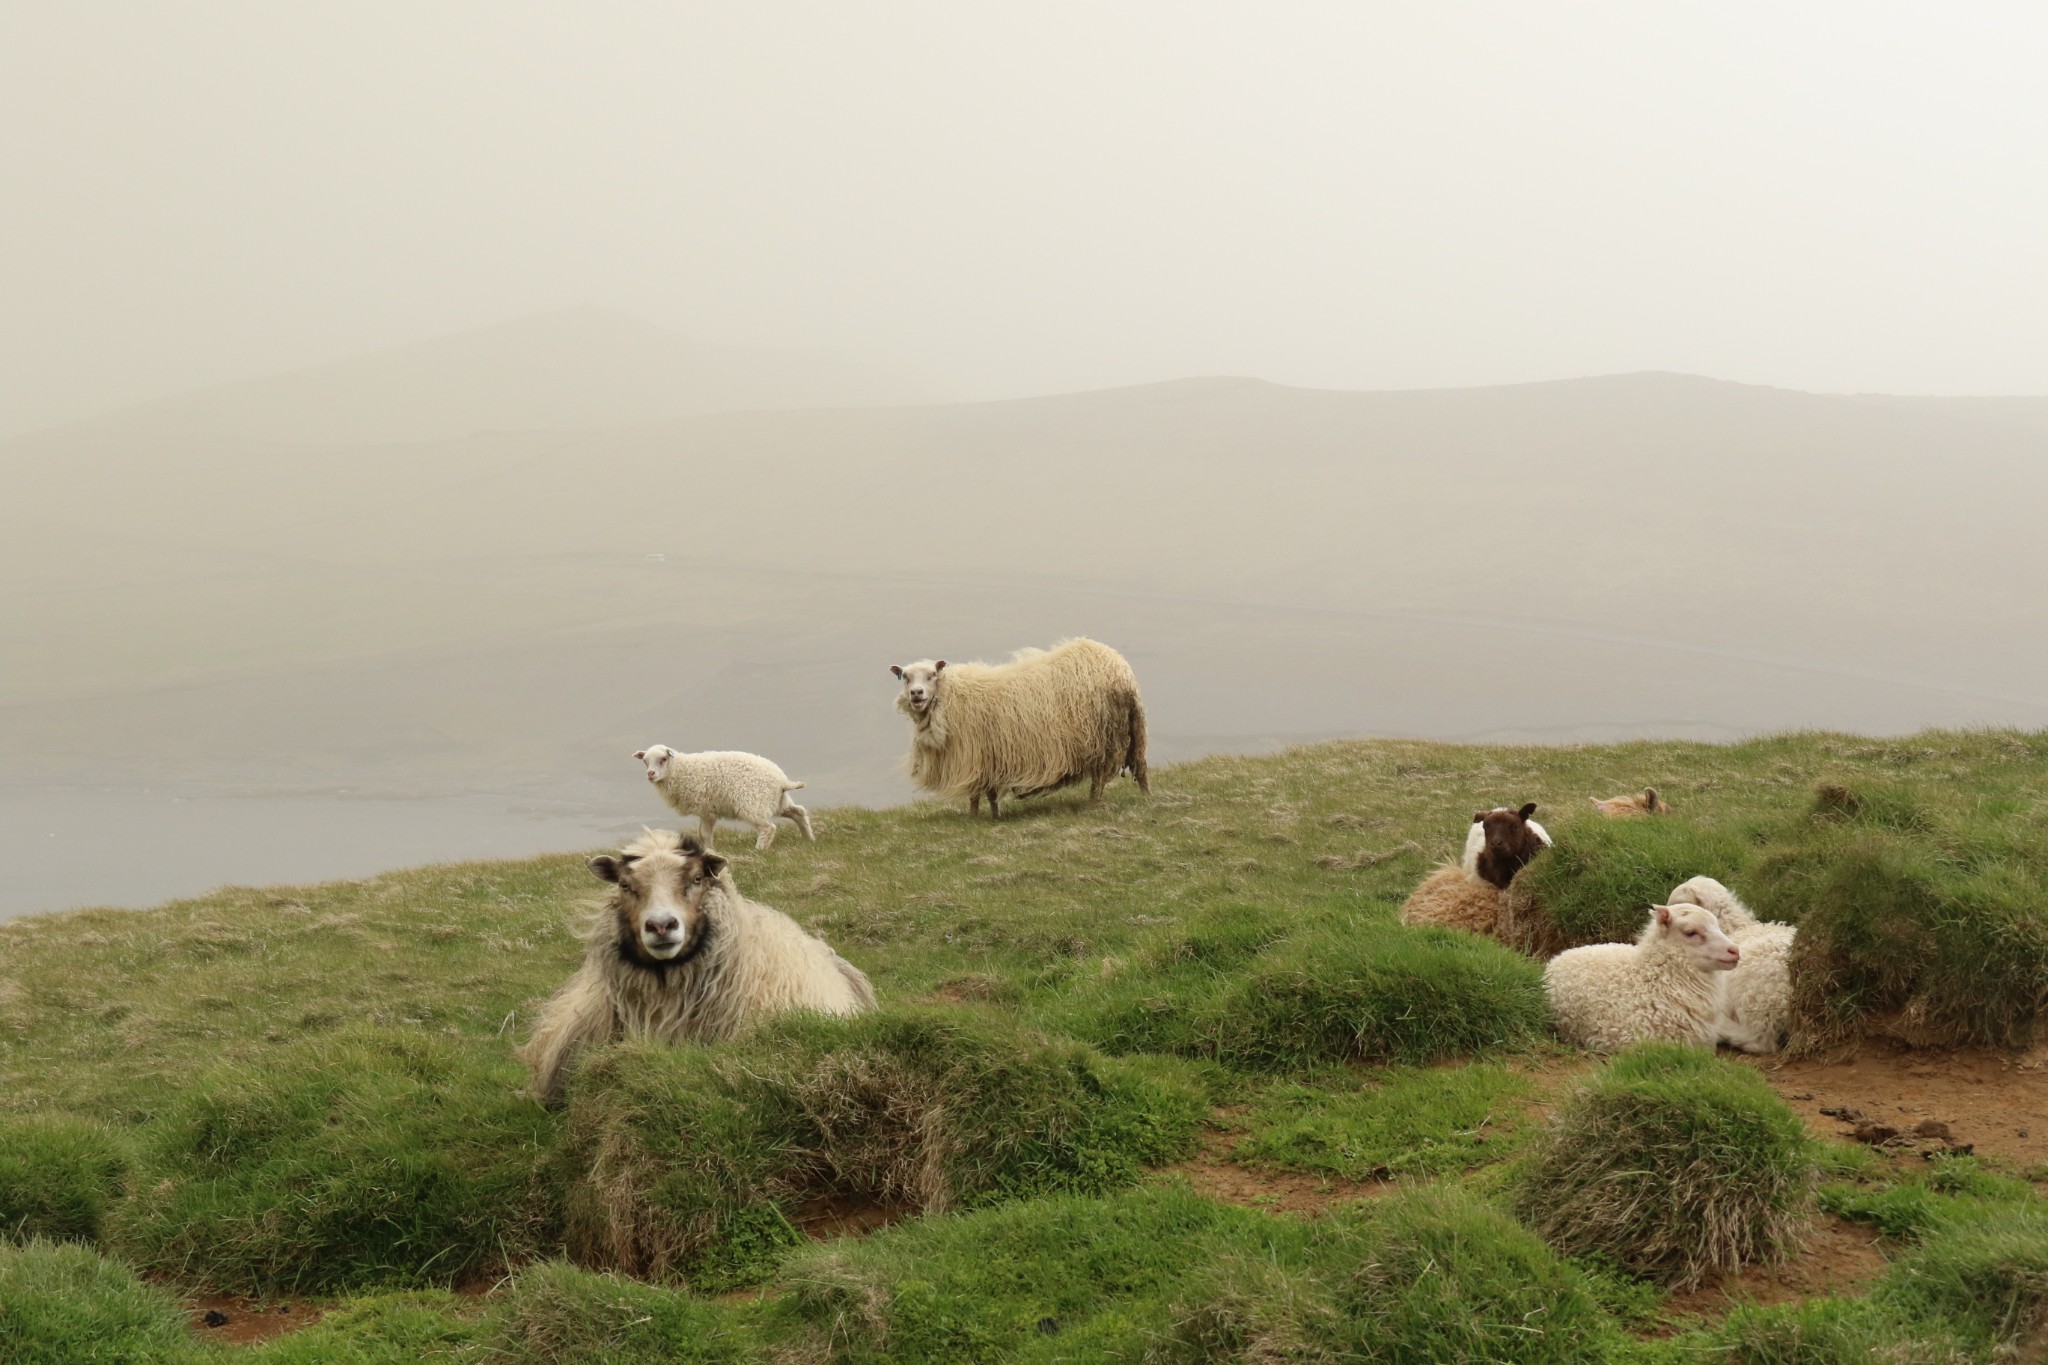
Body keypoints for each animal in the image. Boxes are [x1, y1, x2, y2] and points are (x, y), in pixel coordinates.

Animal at [634, 740, 811, 847]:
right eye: (645, 761)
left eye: (663, 759)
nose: (650, 774)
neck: (681, 770)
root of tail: (782, 780)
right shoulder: (703, 811)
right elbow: (700, 834)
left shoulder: (706, 810)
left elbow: (705, 834)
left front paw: (710, 851)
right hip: (776, 802)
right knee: (799, 812)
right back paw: (809, 839)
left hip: (753, 805)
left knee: (768, 828)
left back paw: (760, 849)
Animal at [888, 634, 1146, 818]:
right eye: (905, 677)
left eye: (932, 674)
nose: (916, 693)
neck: (949, 696)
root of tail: (1120, 667)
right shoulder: (991, 759)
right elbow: (991, 795)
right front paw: (995, 817)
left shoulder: (974, 757)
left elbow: (974, 796)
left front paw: (973, 818)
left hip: (1105, 737)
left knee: (1099, 779)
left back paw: (1094, 803)